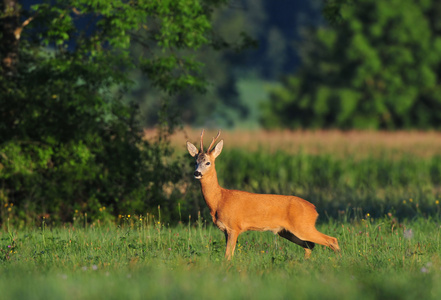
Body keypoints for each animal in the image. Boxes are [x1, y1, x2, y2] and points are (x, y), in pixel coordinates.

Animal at [186, 130, 340, 258]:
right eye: (195, 162)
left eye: (208, 162)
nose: (196, 173)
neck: (219, 199)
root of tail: (314, 209)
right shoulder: (225, 230)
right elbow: (229, 253)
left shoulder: (234, 227)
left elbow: (228, 255)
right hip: (287, 231)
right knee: (310, 245)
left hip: (303, 226)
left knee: (332, 240)